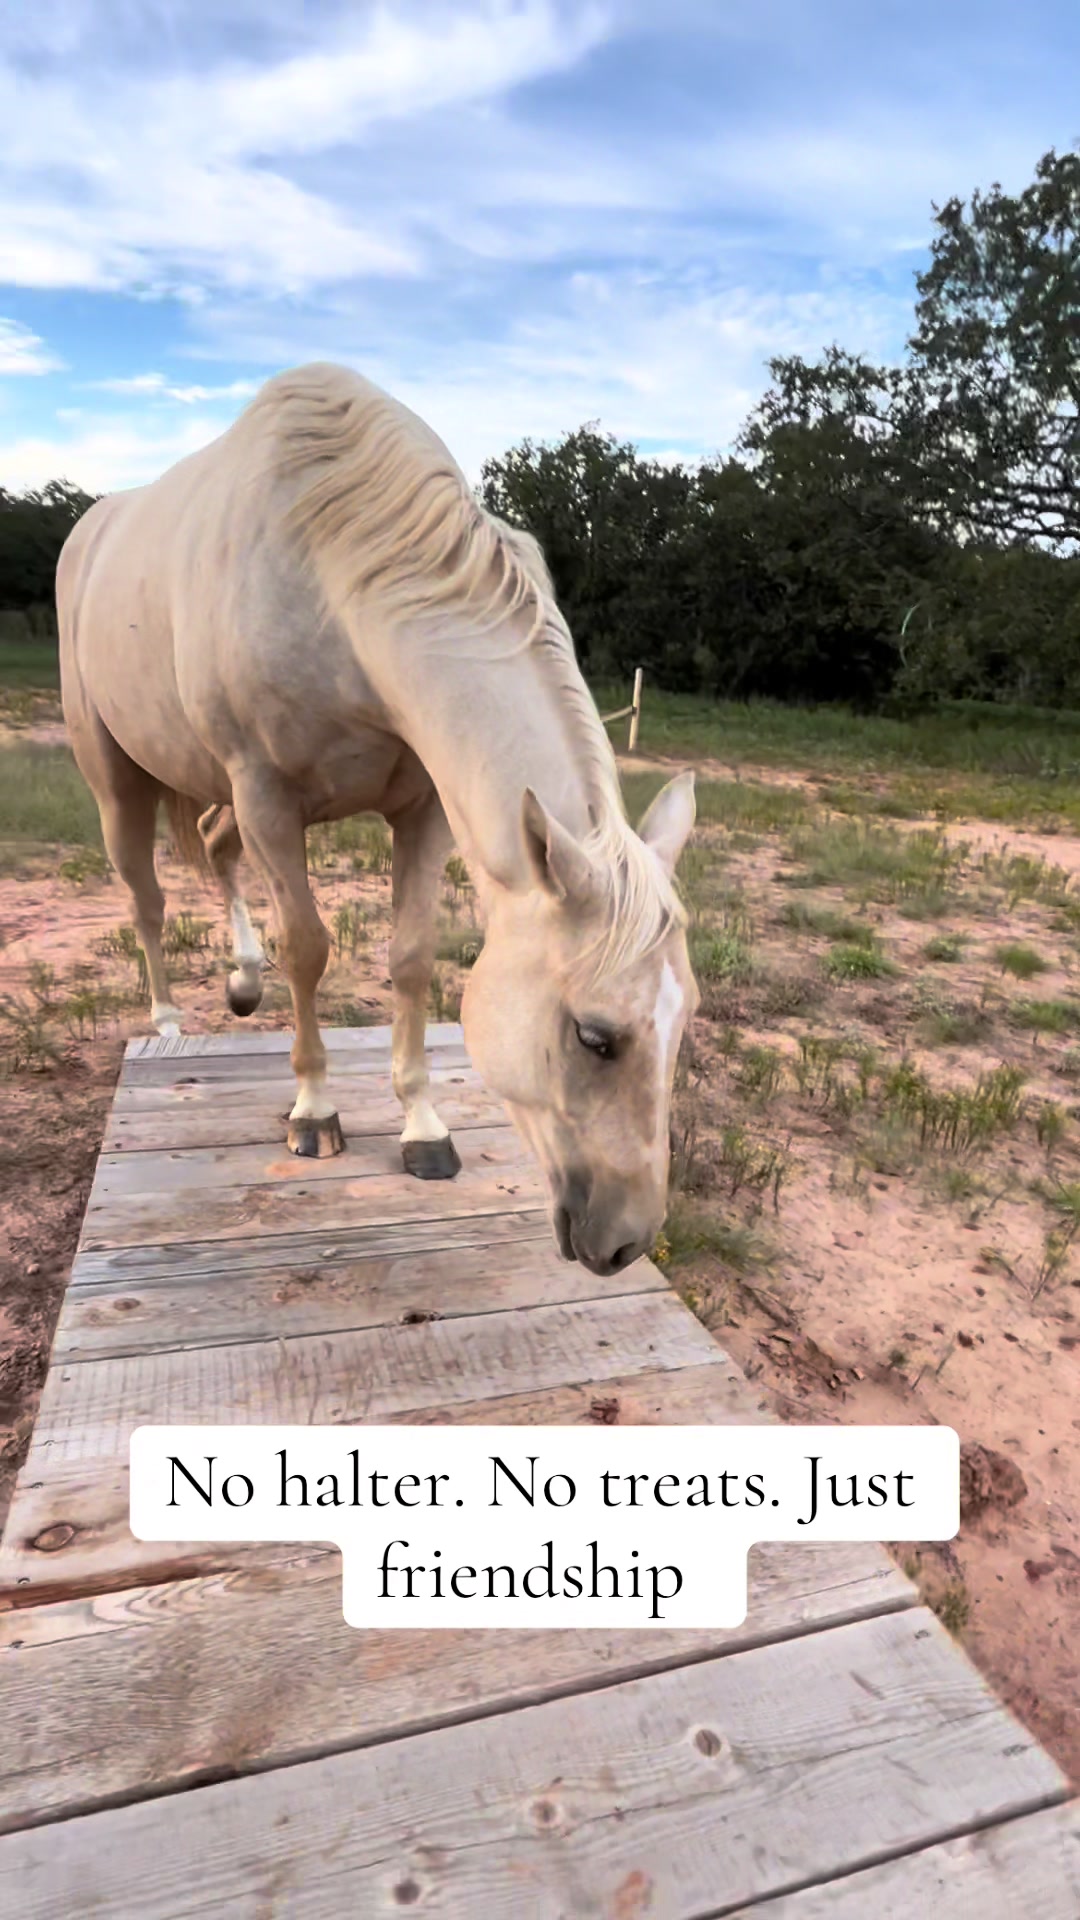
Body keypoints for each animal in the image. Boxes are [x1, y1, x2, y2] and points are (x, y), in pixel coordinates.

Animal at [57, 363, 699, 1277]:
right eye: (593, 1037)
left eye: (686, 1022)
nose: (628, 1242)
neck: (332, 579)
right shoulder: (267, 798)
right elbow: (309, 950)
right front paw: (314, 1111)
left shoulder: (420, 810)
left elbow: (411, 958)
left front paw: (423, 1128)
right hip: (120, 781)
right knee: (146, 899)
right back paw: (171, 1022)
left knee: (215, 852)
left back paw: (242, 981)